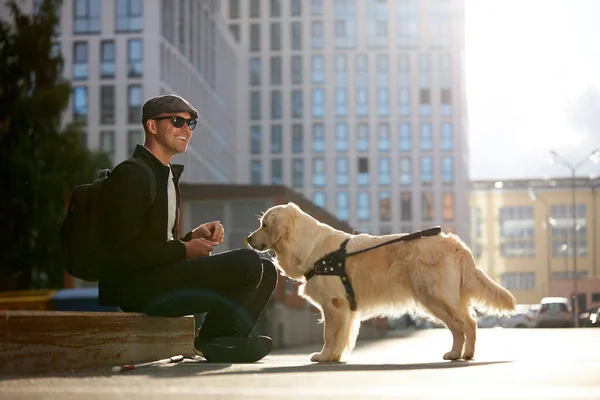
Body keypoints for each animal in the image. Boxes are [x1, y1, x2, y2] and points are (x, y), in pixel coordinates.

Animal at [246, 203, 516, 362]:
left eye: (264, 224)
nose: (247, 238)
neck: (311, 248)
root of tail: (456, 243)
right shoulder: (345, 308)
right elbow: (343, 335)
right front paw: (336, 356)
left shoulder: (334, 305)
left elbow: (330, 335)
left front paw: (324, 356)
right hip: (445, 298)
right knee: (466, 323)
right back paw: (461, 354)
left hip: (434, 296)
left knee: (463, 324)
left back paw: (460, 354)